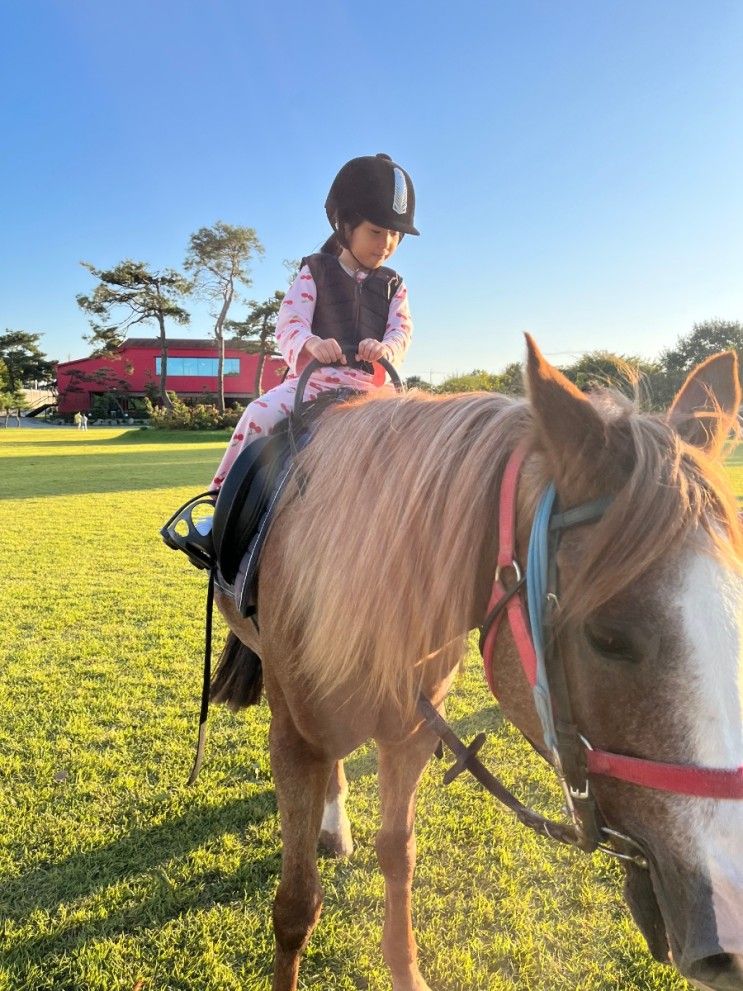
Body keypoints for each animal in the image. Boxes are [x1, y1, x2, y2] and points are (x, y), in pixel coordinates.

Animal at [211, 338, 743, 988]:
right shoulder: (292, 741)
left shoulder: (411, 735)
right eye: (607, 636)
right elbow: (295, 906)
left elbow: (398, 852)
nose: (732, 922)